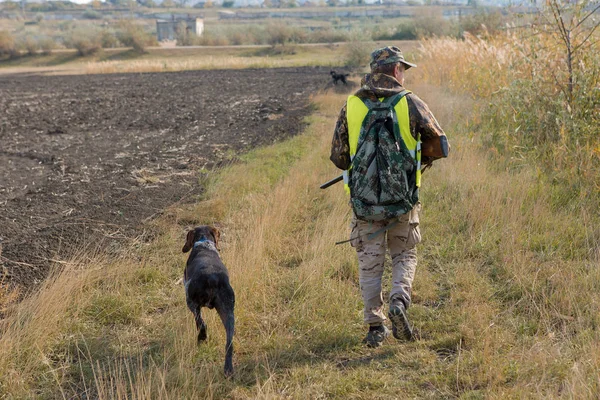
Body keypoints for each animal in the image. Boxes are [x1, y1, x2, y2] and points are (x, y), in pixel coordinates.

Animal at [182, 227, 236, 376]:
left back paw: (201, 338)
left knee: (201, 324)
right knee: (229, 344)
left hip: (191, 302)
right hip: (228, 313)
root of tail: (213, 278)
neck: (204, 242)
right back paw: (228, 369)